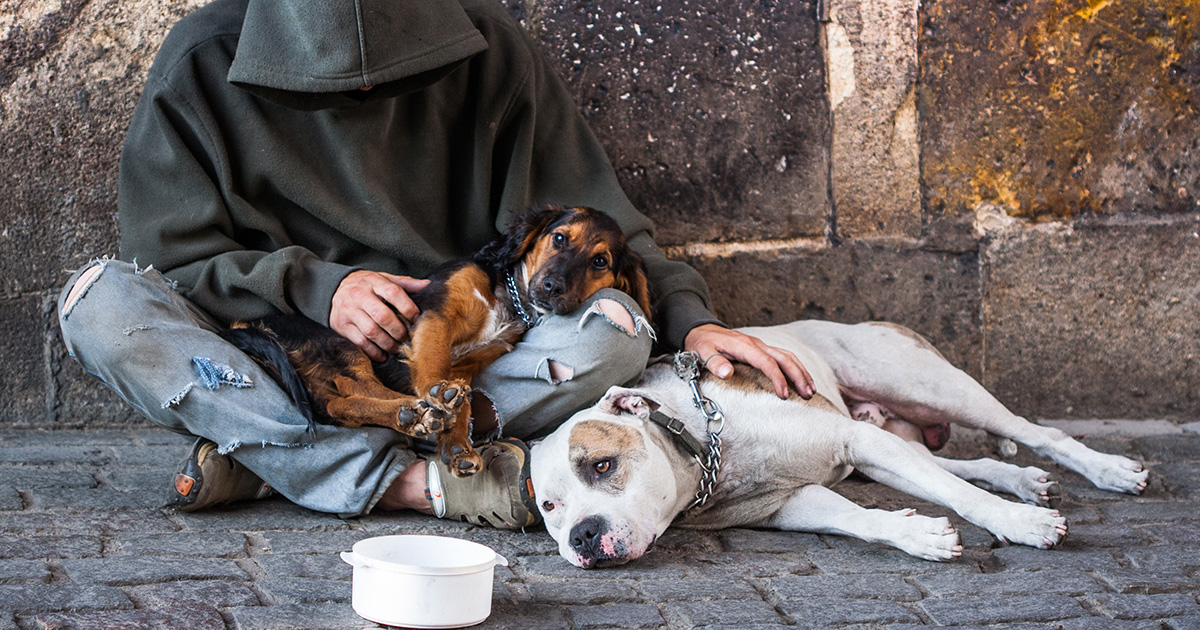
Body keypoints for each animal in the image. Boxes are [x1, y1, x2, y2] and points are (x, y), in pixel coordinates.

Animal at [220, 206, 652, 477]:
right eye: (559, 238)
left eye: (599, 262)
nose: (552, 287)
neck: (509, 299)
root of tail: (243, 325)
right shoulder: (435, 316)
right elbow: (432, 364)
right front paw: (439, 398)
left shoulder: (475, 360)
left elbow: (461, 395)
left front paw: (457, 444)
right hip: (343, 344)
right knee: (353, 392)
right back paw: (414, 413)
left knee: (340, 404)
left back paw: (416, 416)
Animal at [530, 321, 1147, 566]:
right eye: (550, 508)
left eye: (602, 465)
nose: (582, 536)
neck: (704, 451)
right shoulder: (788, 504)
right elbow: (858, 519)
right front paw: (917, 534)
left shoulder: (851, 438)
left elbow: (964, 499)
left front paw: (1019, 524)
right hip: (890, 442)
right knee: (958, 465)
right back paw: (1020, 480)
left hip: (932, 388)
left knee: (1034, 431)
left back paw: (1109, 470)